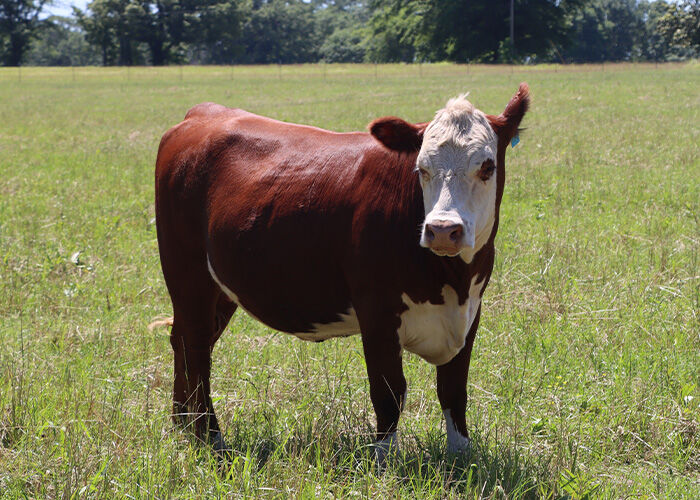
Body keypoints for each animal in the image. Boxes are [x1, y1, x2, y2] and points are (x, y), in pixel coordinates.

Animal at [154, 83, 529, 459]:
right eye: (421, 168)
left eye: (487, 166)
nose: (441, 229)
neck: (452, 279)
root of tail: (203, 113)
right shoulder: (376, 311)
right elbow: (389, 391)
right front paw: (383, 461)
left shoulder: (470, 311)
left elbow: (453, 390)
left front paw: (461, 457)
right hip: (188, 275)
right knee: (196, 348)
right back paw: (210, 435)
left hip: (220, 286)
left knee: (183, 339)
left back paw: (183, 422)